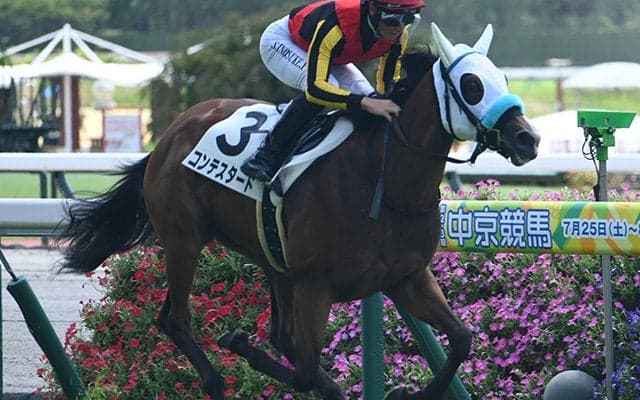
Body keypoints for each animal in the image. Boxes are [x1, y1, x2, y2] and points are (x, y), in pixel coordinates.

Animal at [58, 23, 539, 400]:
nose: (527, 139)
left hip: (270, 258)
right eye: (473, 85)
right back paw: (215, 380)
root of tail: (172, 131)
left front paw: (407, 391)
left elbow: (461, 340)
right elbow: (305, 372)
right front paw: (239, 342)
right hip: (184, 240)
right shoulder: (315, 284)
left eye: (503, 77)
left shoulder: (406, 277)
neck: (382, 181)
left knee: (256, 330)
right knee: (177, 321)